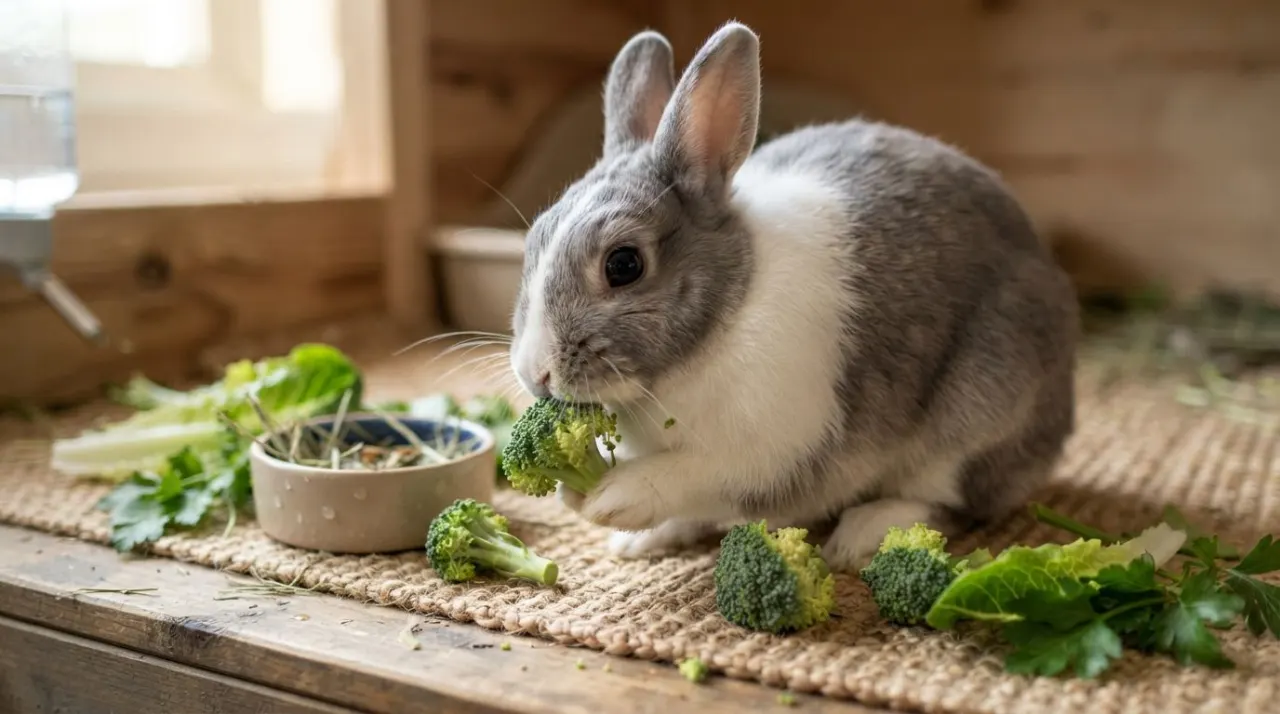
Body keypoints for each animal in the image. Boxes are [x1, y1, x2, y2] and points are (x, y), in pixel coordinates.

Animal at [507, 21, 1079, 572]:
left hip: (977, 415)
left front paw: (608, 499)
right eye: (535, 237)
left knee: (951, 505)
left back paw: (860, 536)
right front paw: (595, 510)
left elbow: (692, 474)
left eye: (623, 265)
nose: (536, 373)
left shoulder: (770, 449)